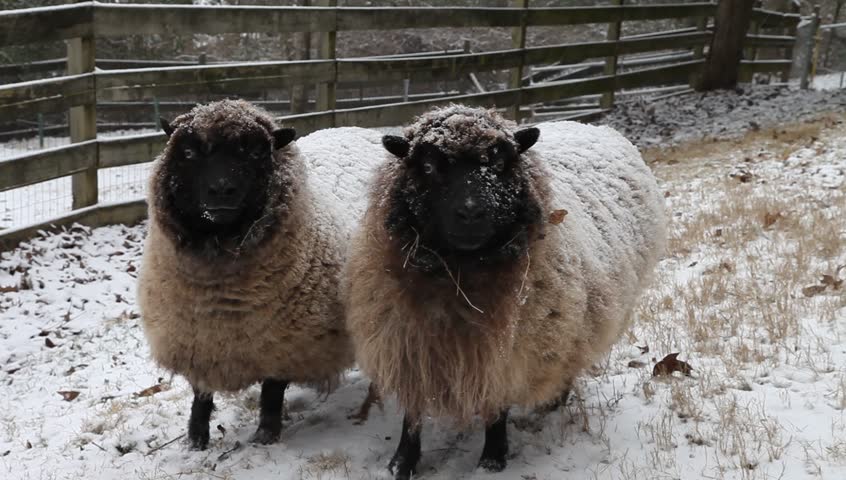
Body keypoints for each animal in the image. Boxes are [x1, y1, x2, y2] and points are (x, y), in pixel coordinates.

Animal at [138, 98, 384, 450]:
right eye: (188, 153)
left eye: (255, 152)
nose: (221, 189)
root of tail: (365, 129)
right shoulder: (197, 340)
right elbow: (201, 394)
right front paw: (196, 439)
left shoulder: (286, 343)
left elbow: (271, 392)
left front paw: (265, 436)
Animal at [342, 104, 668, 476]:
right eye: (427, 166)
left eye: (498, 163)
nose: (471, 212)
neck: (460, 276)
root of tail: (595, 126)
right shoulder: (410, 344)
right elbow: (413, 412)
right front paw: (401, 463)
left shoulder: (510, 350)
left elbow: (496, 406)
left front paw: (492, 459)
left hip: (572, 324)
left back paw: (554, 401)